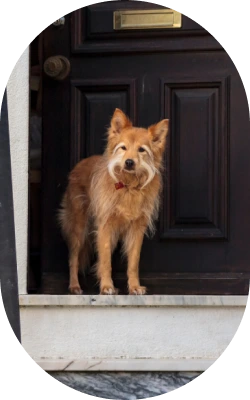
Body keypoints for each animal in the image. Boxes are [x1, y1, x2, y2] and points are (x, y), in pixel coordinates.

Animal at [57, 108, 169, 296]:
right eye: (123, 148)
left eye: (141, 150)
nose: (129, 162)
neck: (128, 186)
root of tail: (80, 163)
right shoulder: (105, 226)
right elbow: (105, 261)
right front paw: (106, 287)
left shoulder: (137, 229)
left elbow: (133, 262)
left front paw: (134, 287)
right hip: (78, 227)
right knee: (73, 257)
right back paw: (74, 285)